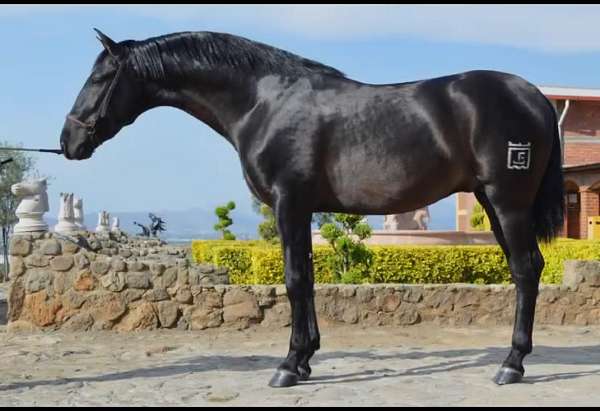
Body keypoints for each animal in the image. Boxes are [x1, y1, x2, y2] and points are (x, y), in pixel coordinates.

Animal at [58, 29, 564, 390]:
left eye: (100, 79)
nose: (69, 141)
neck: (263, 102)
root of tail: (534, 94)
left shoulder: (290, 203)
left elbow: (295, 280)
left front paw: (288, 364)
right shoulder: (302, 210)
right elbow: (308, 278)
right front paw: (305, 360)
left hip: (507, 201)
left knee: (525, 269)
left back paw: (512, 364)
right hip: (491, 203)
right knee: (528, 268)